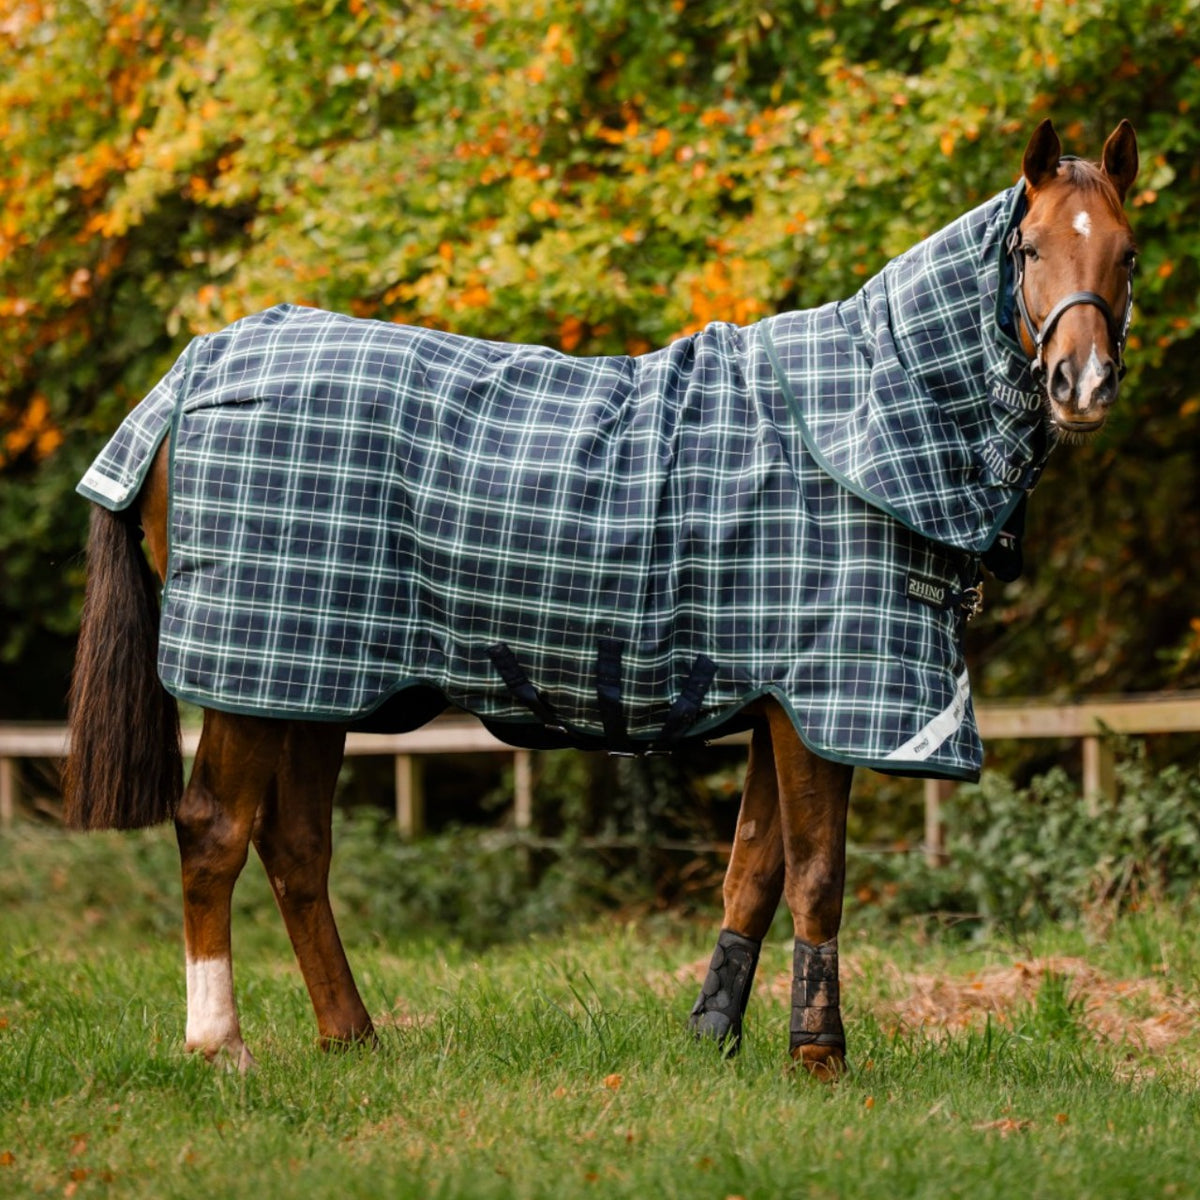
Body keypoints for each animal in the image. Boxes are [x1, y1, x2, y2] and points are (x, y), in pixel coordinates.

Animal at [64, 119, 1138, 1077]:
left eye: (1127, 254)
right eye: (1030, 248)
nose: (1081, 384)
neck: (864, 424)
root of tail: (194, 370)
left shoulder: (773, 704)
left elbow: (753, 869)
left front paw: (715, 1036)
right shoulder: (820, 705)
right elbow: (817, 873)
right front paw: (818, 1054)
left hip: (310, 682)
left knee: (296, 848)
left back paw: (353, 1038)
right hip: (252, 676)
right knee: (214, 829)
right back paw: (221, 1045)